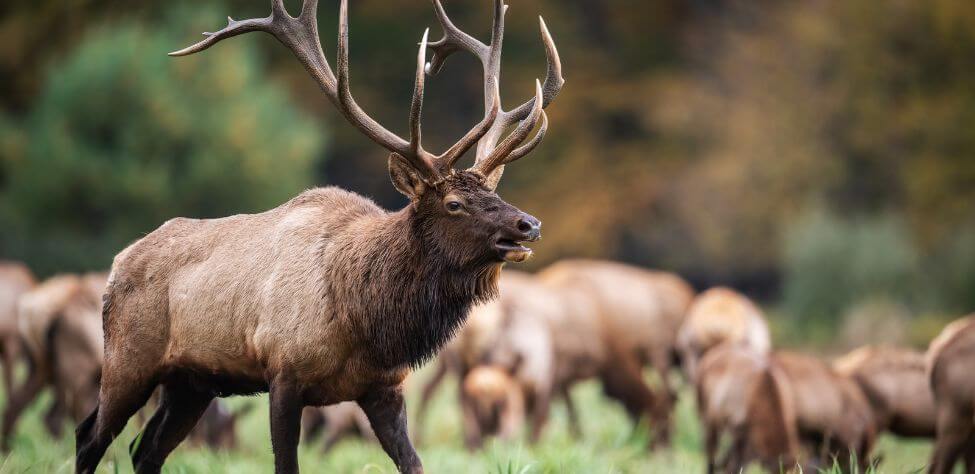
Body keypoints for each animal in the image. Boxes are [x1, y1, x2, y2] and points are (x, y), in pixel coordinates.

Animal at [74, 0, 563, 472]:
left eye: (494, 192)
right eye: (454, 204)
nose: (530, 224)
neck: (363, 319)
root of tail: (118, 263)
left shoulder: (383, 388)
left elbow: (414, 463)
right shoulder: (283, 374)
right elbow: (286, 463)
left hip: (192, 382)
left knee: (146, 449)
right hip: (128, 358)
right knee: (89, 437)